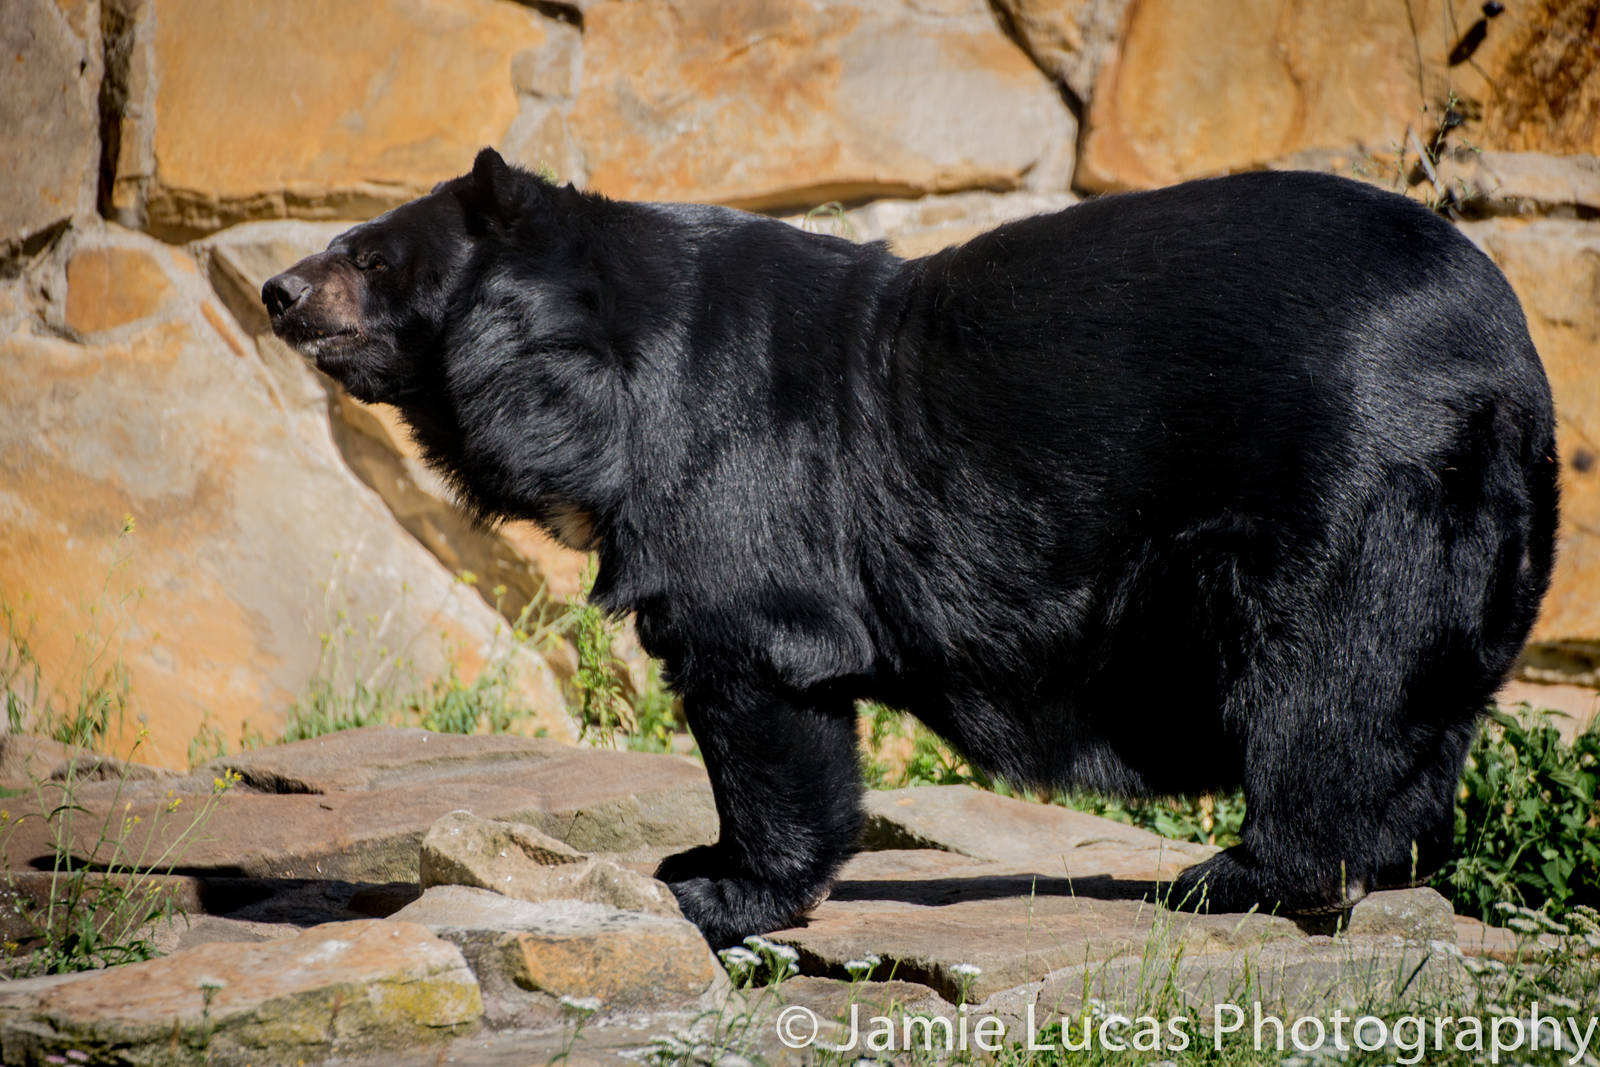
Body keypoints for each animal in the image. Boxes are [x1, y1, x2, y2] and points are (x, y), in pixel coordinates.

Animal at [264, 148, 1558, 948]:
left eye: (371, 257)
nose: (276, 289)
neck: (594, 378)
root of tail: (1509, 352)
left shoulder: (727, 467)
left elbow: (757, 664)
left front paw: (720, 889)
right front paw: (695, 861)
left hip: (1355, 482)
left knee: (1327, 683)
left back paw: (1238, 876)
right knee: (1421, 701)